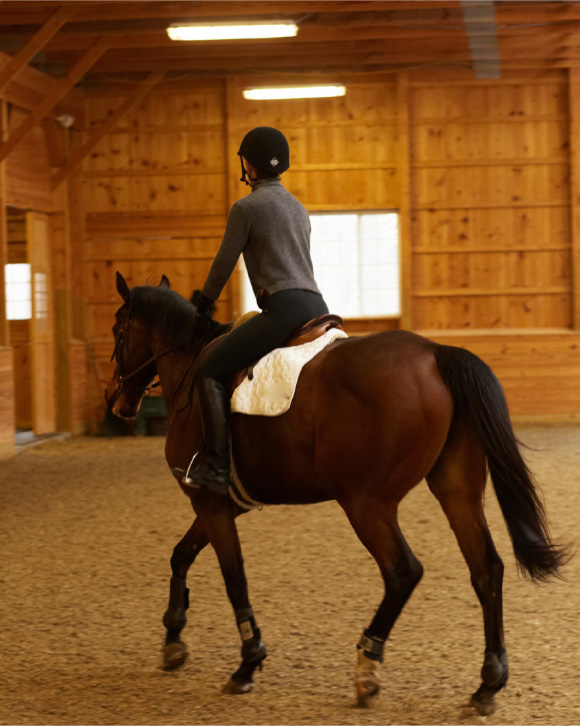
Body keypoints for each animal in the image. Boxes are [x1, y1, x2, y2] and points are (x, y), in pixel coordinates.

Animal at [105, 272, 564, 713]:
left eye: (117, 330)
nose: (116, 400)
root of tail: (435, 354)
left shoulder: (210, 502)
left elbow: (234, 578)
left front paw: (247, 663)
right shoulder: (223, 503)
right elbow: (181, 554)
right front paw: (173, 639)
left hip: (366, 503)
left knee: (403, 572)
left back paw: (367, 669)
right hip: (456, 491)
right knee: (486, 569)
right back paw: (487, 686)